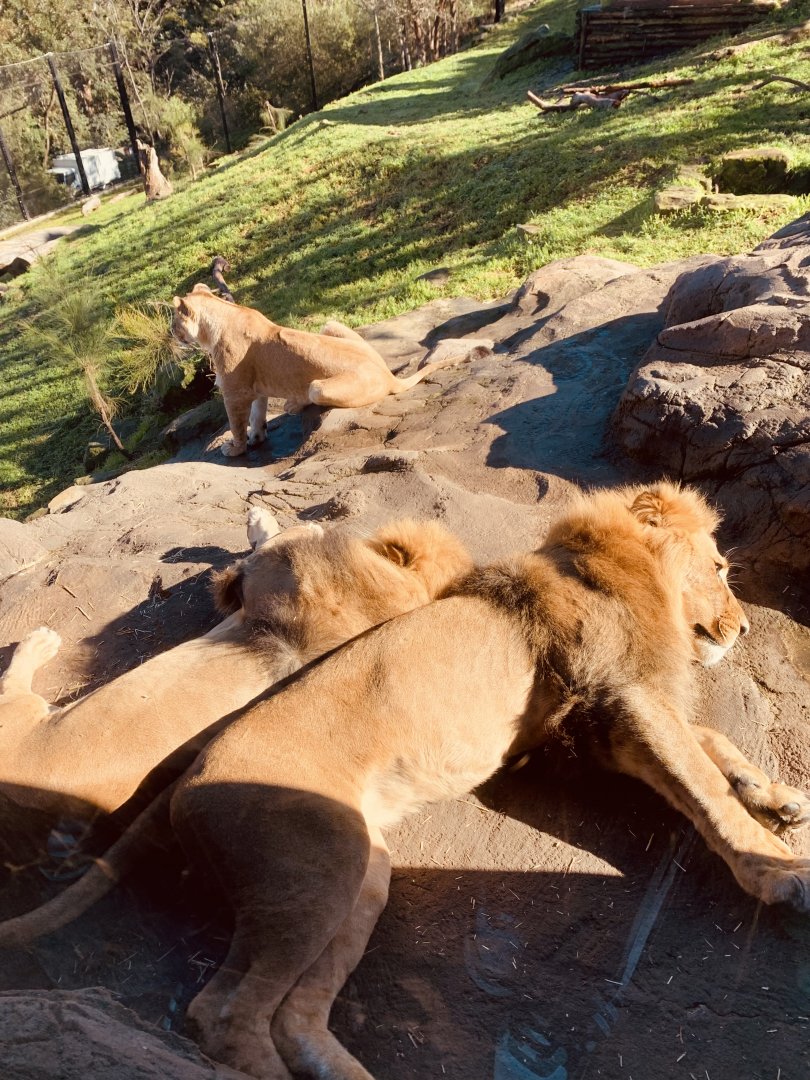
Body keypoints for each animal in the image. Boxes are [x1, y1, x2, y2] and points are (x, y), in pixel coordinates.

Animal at [0, 509, 471, 821]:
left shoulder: (273, 575)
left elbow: (271, 540)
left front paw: (261, 518)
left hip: (17, 712)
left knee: (13, 682)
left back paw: (39, 641)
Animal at [171, 284, 469, 457]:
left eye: (174, 321)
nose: (171, 333)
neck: (221, 315)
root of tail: (387, 374)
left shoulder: (234, 391)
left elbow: (236, 423)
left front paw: (235, 448)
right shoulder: (254, 389)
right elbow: (257, 415)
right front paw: (256, 437)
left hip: (318, 387)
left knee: (311, 396)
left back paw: (292, 404)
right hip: (331, 324)